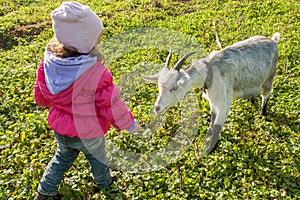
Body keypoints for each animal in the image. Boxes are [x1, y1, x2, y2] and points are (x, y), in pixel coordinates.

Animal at [142, 32, 280, 154]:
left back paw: (263, 113)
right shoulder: (213, 100)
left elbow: (217, 125)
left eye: (175, 88)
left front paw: (209, 150)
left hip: (270, 76)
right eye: (159, 87)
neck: (211, 71)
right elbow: (212, 120)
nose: (157, 108)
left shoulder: (224, 101)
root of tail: (273, 41)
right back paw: (252, 101)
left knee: (266, 94)